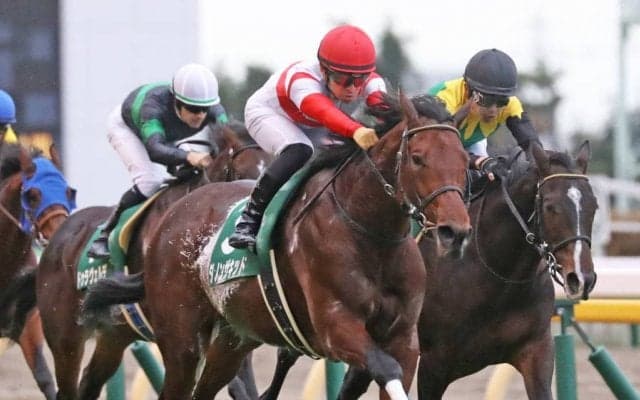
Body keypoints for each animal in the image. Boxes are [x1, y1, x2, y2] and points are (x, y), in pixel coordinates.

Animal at [83, 92, 472, 400]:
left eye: (464, 160)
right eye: (417, 157)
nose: (455, 231)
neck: (371, 236)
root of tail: (172, 217)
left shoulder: (404, 339)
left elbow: (393, 371)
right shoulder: (336, 328)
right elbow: (384, 368)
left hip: (232, 339)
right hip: (182, 340)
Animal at [245, 141, 599, 400]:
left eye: (594, 205)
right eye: (551, 206)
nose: (582, 278)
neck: (497, 276)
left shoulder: (536, 352)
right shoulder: (435, 364)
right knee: (289, 356)